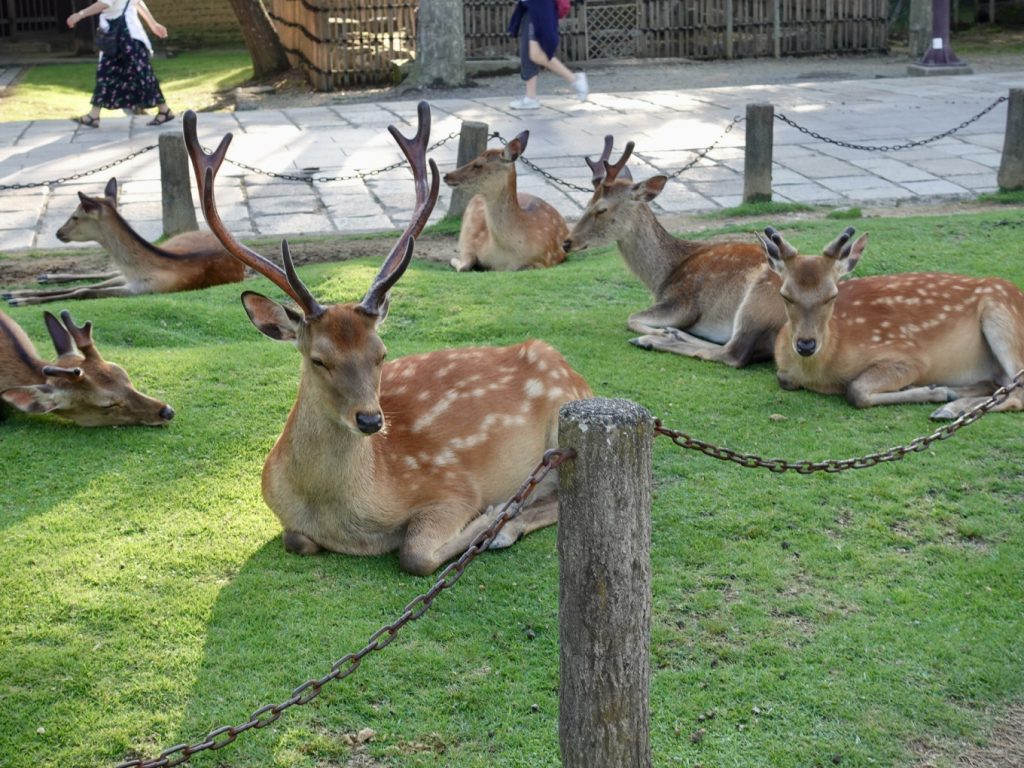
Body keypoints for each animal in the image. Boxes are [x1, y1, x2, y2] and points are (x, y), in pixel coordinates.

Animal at [2, 177, 244, 307]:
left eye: (75, 216)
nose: (58, 233)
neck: (142, 271)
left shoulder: (143, 290)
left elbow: (84, 290)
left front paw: (19, 299)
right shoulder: (130, 282)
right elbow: (85, 286)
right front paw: (17, 295)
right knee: (105, 274)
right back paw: (45, 277)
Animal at [442, 130, 569, 272]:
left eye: (478, 165)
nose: (447, 176)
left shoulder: (550, 257)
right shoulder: (470, 240)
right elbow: (464, 266)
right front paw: (453, 260)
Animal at [563, 136, 785, 368]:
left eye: (601, 209)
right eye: (587, 202)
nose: (567, 242)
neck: (662, 277)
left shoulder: (682, 302)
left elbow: (631, 318)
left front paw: (658, 332)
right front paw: (666, 331)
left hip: (760, 298)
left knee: (734, 354)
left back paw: (650, 339)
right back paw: (673, 333)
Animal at [759, 225, 1024, 419]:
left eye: (832, 295)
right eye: (785, 295)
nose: (806, 345)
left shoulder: (909, 356)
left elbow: (855, 390)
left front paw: (934, 390)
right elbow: (784, 378)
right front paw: (934, 389)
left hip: (1002, 316)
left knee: (1017, 393)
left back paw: (951, 408)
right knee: (997, 385)